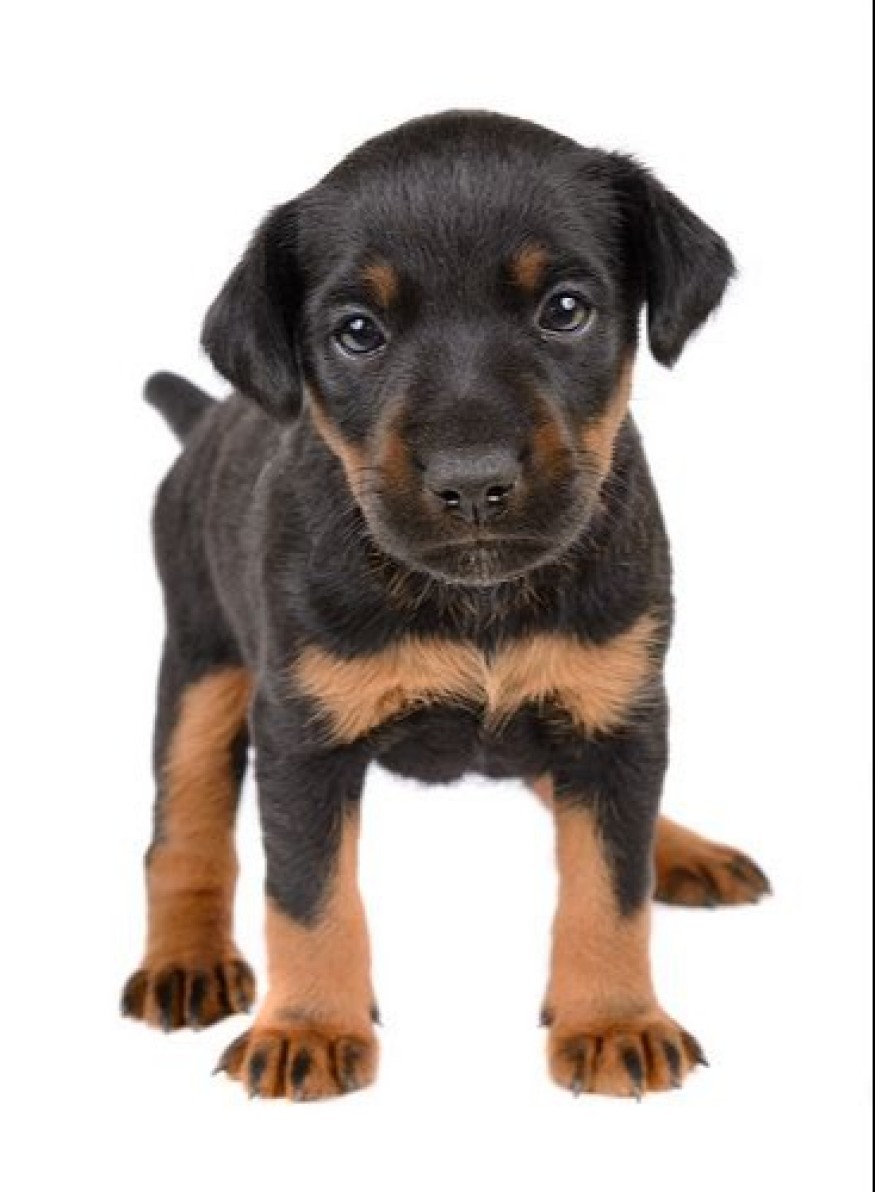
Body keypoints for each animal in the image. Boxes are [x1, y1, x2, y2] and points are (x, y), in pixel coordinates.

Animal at [121, 111, 771, 1101]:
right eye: (357, 332)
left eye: (565, 309)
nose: (472, 483)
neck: (478, 597)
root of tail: (206, 420)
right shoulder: (299, 735)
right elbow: (308, 896)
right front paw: (309, 1028)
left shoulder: (616, 713)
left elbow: (607, 884)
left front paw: (612, 1018)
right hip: (200, 662)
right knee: (184, 827)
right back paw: (185, 961)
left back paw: (678, 848)